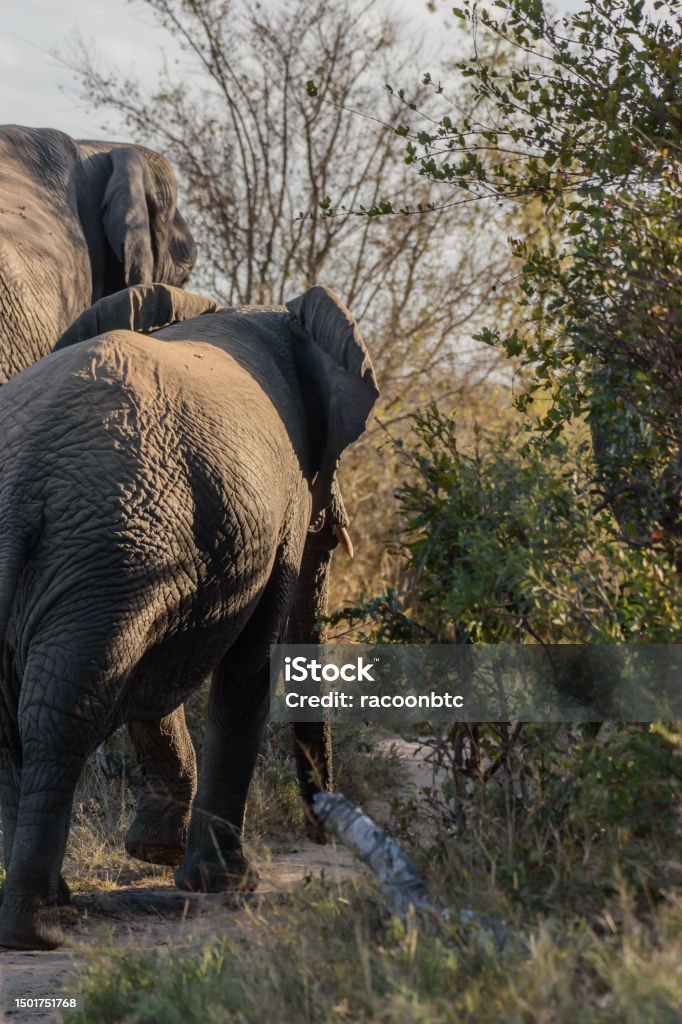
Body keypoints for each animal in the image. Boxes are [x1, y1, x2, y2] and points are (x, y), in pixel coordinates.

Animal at [0, 282, 378, 950]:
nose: (323, 832)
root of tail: (20, 480)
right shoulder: (273, 515)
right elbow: (246, 669)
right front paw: (225, 883)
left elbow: (160, 675)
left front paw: (160, 854)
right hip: (113, 545)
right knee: (66, 712)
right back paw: (40, 929)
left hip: (108, 553)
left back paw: (43, 909)